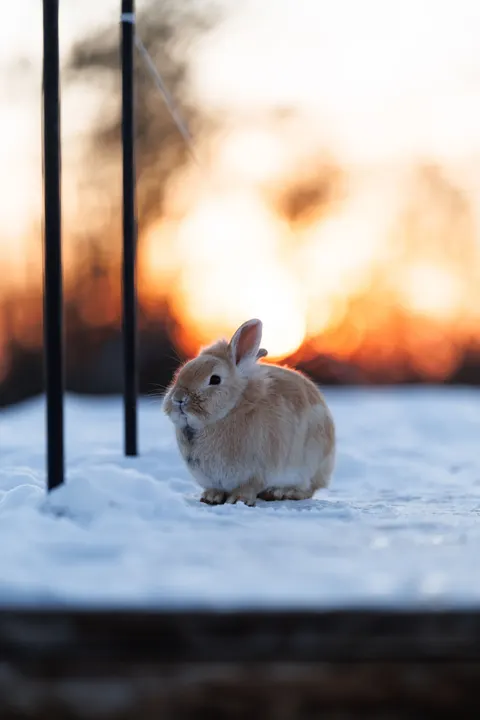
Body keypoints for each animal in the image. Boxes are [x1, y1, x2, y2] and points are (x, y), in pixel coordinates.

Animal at [163, 318, 335, 506]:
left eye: (215, 379)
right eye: (181, 373)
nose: (179, 398)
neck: (229, 410)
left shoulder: (256, 473)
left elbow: (248, 488)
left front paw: (238, 500)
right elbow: (215, 489)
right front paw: (210, 498)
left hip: (310, 462)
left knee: (307, 490)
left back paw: (280, 492)